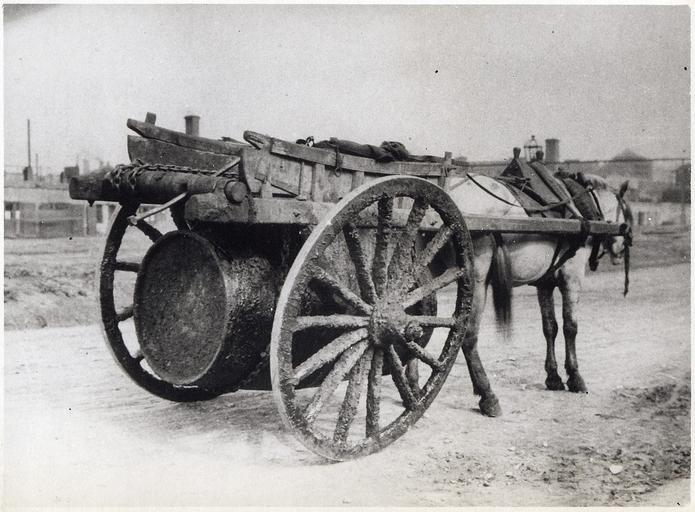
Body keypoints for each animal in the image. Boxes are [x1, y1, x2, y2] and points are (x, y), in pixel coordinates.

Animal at [444, 172, 633, 417]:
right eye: (627, 212)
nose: (624, 247)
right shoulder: (572, 276)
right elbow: (570, 326)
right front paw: (575, 376)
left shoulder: (545, 283)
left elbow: (550, 327)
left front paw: (553, 377)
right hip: (476, 279)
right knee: (468, 336)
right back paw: (487, 395)